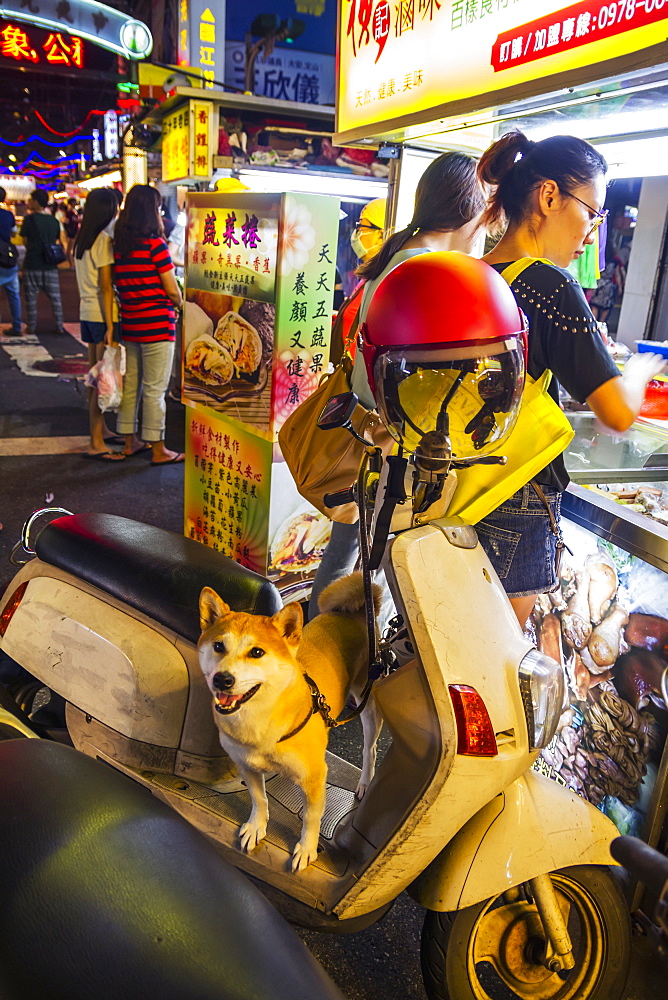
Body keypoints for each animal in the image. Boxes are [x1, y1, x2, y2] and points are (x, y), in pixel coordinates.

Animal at [198, 576, 380, 872]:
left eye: (257, 652)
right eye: (218, 646)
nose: (221, 679)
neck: (260, 723)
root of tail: (353, 614)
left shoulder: (315, 778)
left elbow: (311, 819)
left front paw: (307, 849)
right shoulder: (247, 765)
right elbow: (259, 799)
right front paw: (256, 827)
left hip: (368, 706)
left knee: (370, 750)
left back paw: (365, 783)